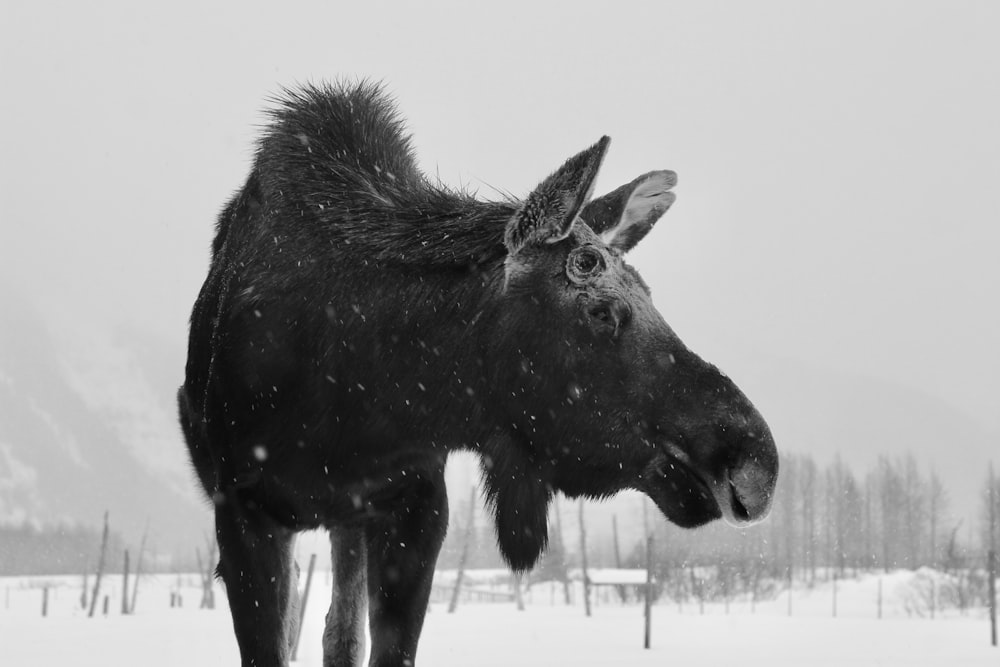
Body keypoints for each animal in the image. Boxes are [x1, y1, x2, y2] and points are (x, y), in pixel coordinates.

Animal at [180, 82, 776, 667]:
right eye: (601, 312)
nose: (756, 464)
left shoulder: (417, 507)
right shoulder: (242, 513)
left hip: (349, 522)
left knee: (338, 634)